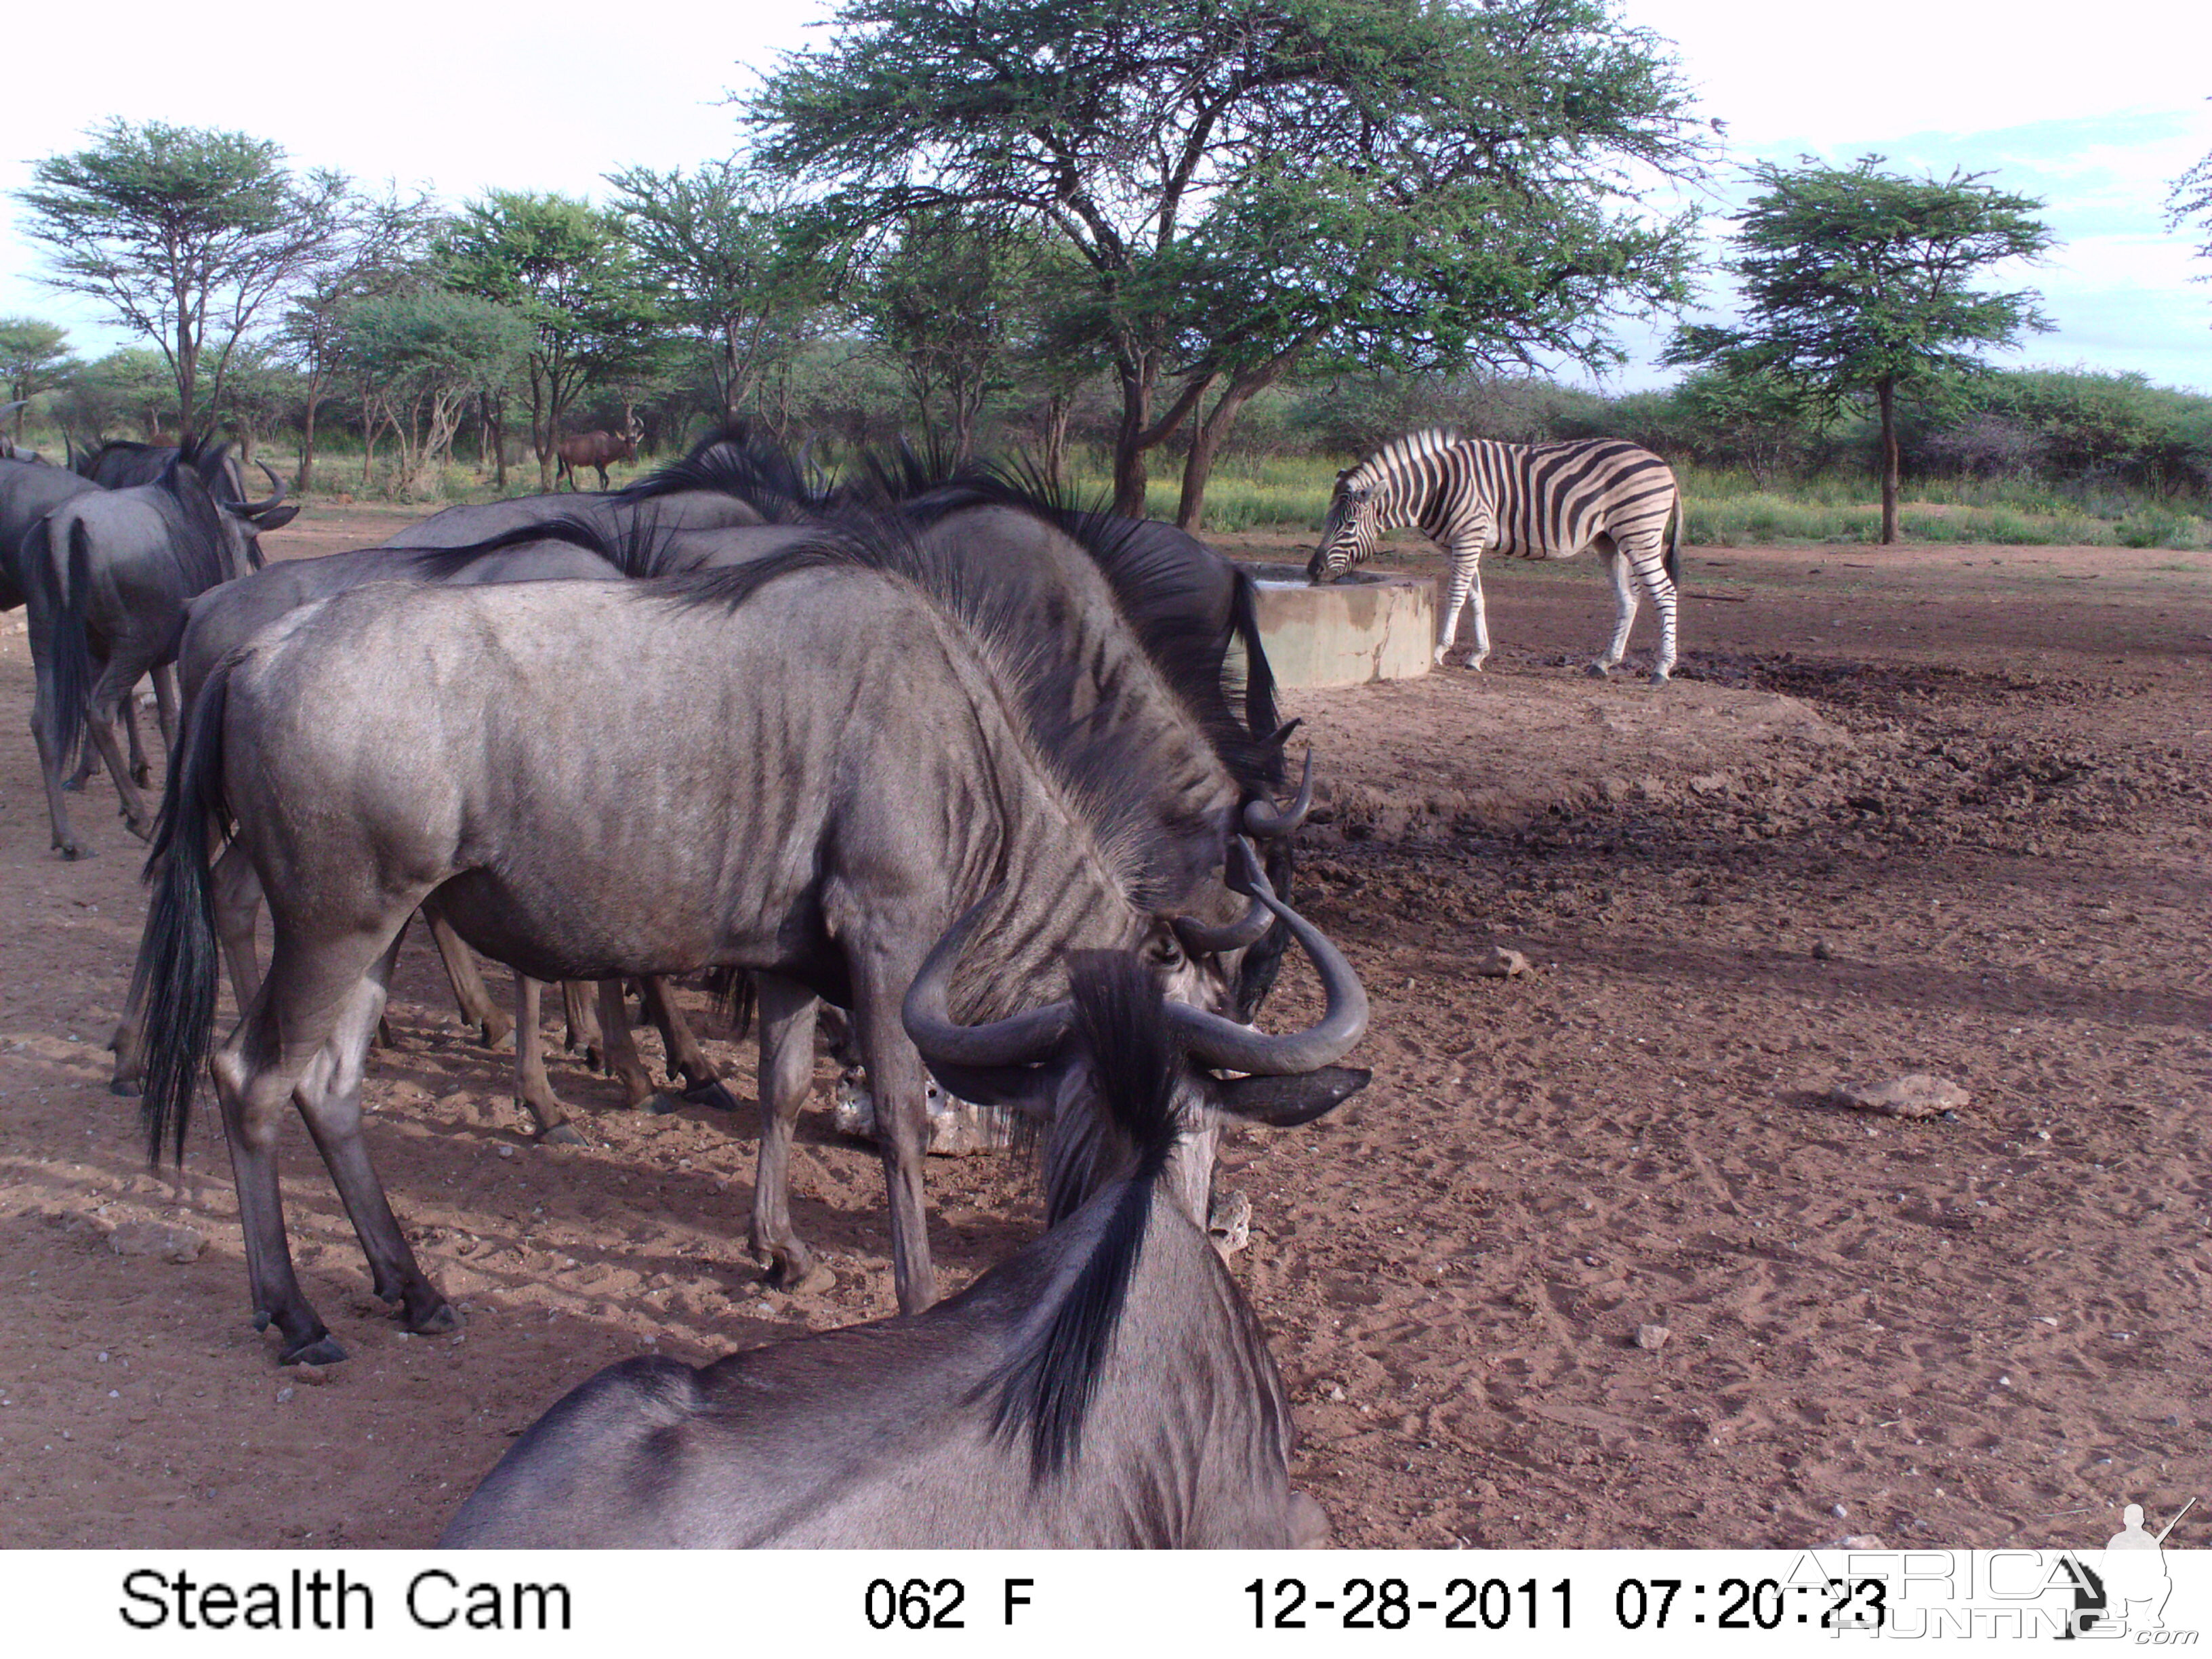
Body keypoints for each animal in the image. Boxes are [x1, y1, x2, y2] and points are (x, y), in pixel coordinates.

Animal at [1300, 436, 1681, 690]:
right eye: (1326, 519)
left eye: (1350, 525)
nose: (1312, 571)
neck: (1436, 487)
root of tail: (1663, 464)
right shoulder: (1455, 544)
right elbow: (1475, 596)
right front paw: (1477, 656)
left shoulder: (1469, 536)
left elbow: (1456, 594)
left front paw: (1438, 650)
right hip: (1610, 540)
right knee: (1628, 599)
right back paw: (1604, 662)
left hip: (1639, 533)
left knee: (1665, 594)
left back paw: (1662, 670)